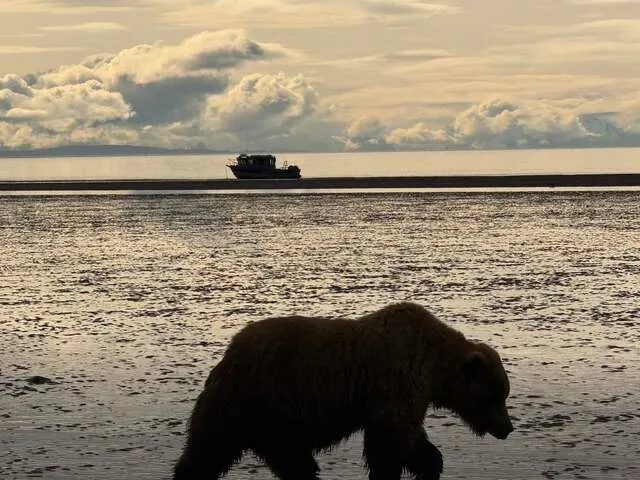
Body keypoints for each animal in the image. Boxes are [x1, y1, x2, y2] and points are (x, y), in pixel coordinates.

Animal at [174, 302, 513, 480]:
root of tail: (229, 352)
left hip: (272, 421)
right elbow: (389, 444)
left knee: (289, 461)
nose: (507, 427)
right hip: (256, 399)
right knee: (209, 448)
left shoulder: (405, 397)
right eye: (496, 395)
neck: (433, 366)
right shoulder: (396, 382)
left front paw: (429, 465)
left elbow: (414, 442)